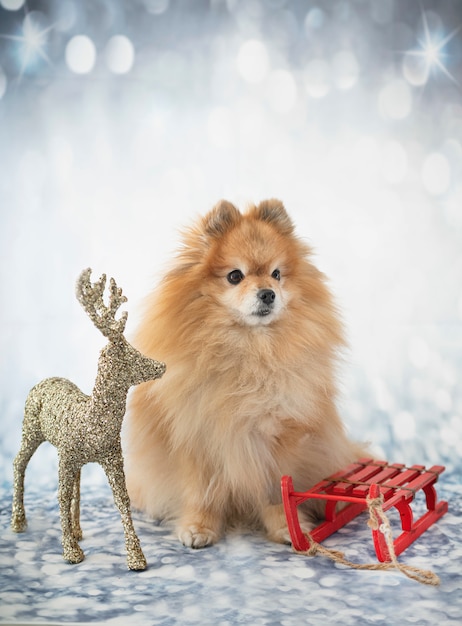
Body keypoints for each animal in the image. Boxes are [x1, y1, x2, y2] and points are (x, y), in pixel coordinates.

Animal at [123, 197, 368, 544]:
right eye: (234, 276)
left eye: (277, 274)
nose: (268, 293)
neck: (249, 352)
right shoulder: (197, 436)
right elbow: (201, 491)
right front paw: (199, 526)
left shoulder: (279, 438)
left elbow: (279, 491)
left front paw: (287, 527)